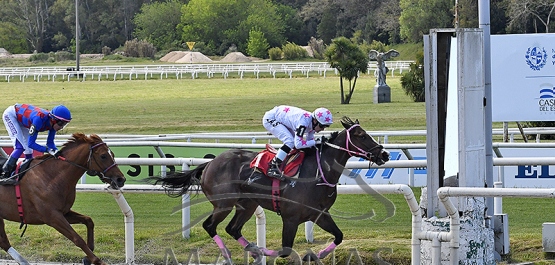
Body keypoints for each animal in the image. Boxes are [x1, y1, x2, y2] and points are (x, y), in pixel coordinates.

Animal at [0, 132, 126, 264]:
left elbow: (88, 220)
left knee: (3, 241)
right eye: (103, 156)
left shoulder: (64, 212)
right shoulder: (52, 217)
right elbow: (77, 238)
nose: (121, 179)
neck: (51, 176)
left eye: (112, 154)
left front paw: (87, 257)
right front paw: (97, 260)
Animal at [150, 117, 388, 264]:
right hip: (224, 204)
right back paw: (231, 254)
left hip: (247, 205)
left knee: (232, 229)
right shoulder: (290, 218)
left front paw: (314, 255)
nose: (384, 154)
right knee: (210, 226)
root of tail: (209, 164)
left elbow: (339, 236)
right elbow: (285, 250)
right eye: (362, 136)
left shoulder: (320, 214)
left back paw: (253, 249)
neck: (316, 173)